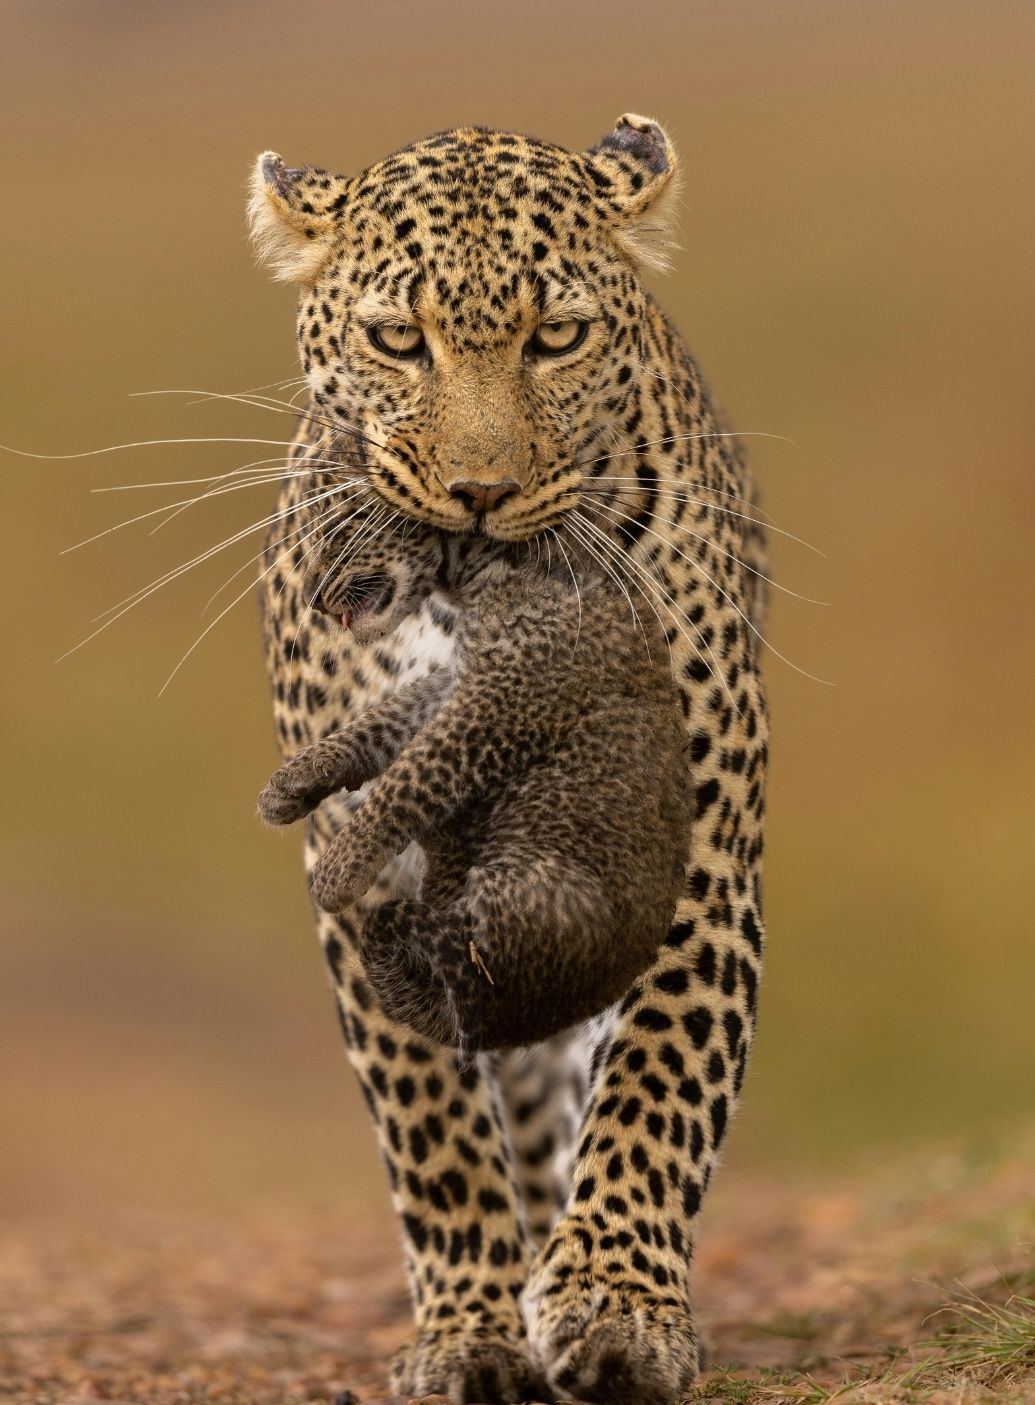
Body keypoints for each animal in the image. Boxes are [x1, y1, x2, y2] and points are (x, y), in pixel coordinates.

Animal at [256, 516, 694, 1057]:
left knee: (452, 943)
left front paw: (338, 870)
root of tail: (520, 1026)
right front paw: (293, 783)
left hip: (532, 890)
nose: (313, 598)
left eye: (343, 532)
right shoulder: (461, 679)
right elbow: (383, 721)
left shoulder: (501, 699)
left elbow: (414, 773)